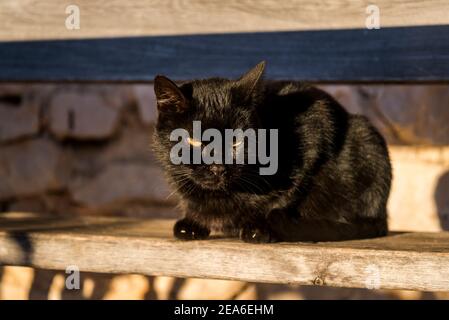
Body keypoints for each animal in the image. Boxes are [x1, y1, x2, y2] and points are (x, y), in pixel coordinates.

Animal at [152, 62, 390, 242]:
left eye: (236, 141)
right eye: (193, 141)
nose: (218, 167)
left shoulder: (317, 127)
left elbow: (288, 196)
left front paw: (261, 227)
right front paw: (193, 223)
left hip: (366, 136)